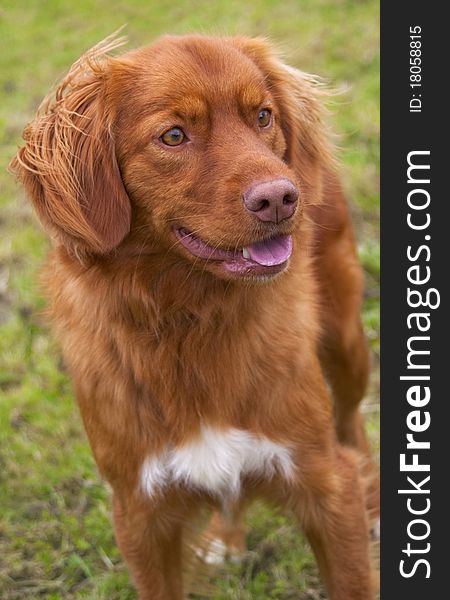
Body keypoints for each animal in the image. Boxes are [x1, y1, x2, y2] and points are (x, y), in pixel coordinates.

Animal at [10, 34, 378, 600]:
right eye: (174, 136)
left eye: (263, 116)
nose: (281, 197)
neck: (191, 318)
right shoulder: (140, 513)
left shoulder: (326, 484)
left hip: (344, 341)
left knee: (352, 420)